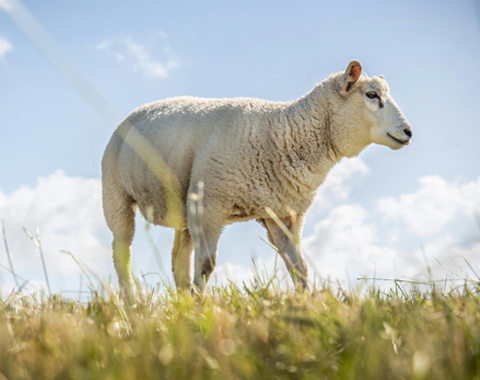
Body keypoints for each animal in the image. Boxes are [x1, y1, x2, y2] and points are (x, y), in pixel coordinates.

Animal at [102, 59, 412, 298]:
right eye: (371, 95)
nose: (408, 132)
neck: (285, 134)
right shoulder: (212, 205)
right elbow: (207, 264)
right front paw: (200, 309)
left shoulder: (284, 214)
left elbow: (299, 267)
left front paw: (308, 304)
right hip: (116, 196)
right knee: (122, 254)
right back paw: (132, 304)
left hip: (185, 205)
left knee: (178, 259)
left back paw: (181, 302)